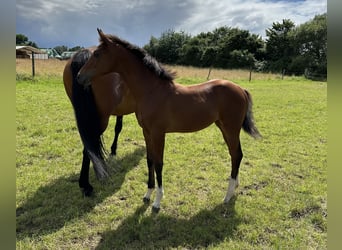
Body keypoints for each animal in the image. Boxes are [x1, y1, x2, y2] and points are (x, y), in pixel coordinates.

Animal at [77, 29, 260, 213]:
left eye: (97, 54)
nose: (79, 76)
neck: (152, 91)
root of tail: (241, 89)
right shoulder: (147, 132)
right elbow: (150, 160)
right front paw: (147, 194)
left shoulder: (158, 133)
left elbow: (159, 163)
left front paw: (157, 202)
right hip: (224, 127)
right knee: (235, 154)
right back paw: (235, 187)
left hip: (231, 128)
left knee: (236, 154)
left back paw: (227, 196)